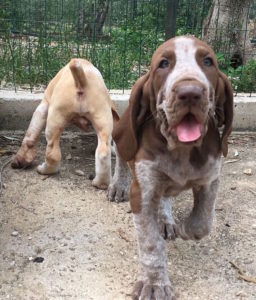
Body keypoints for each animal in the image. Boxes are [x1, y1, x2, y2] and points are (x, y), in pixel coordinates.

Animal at [11, 58, 118, 190]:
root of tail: (83, 81)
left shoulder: (44, 105)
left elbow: (30, 136)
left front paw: (21, 159)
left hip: (54, 121)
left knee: (52, 153)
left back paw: (45, 170)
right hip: (102, 120)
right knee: (103, 152)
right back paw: (101, 183)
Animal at [109, 36, 233, 298]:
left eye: (208, 61)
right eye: (164, 64)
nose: (190, 93)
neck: (181, 150)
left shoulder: (210, 179)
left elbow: (202, 222)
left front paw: (186, 228)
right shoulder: (142, 193)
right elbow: (151, 243)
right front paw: (154, 283)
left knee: (166, 196)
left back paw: (166, 219)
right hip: (122, 136)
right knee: (122, 157)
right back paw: (118, 186)